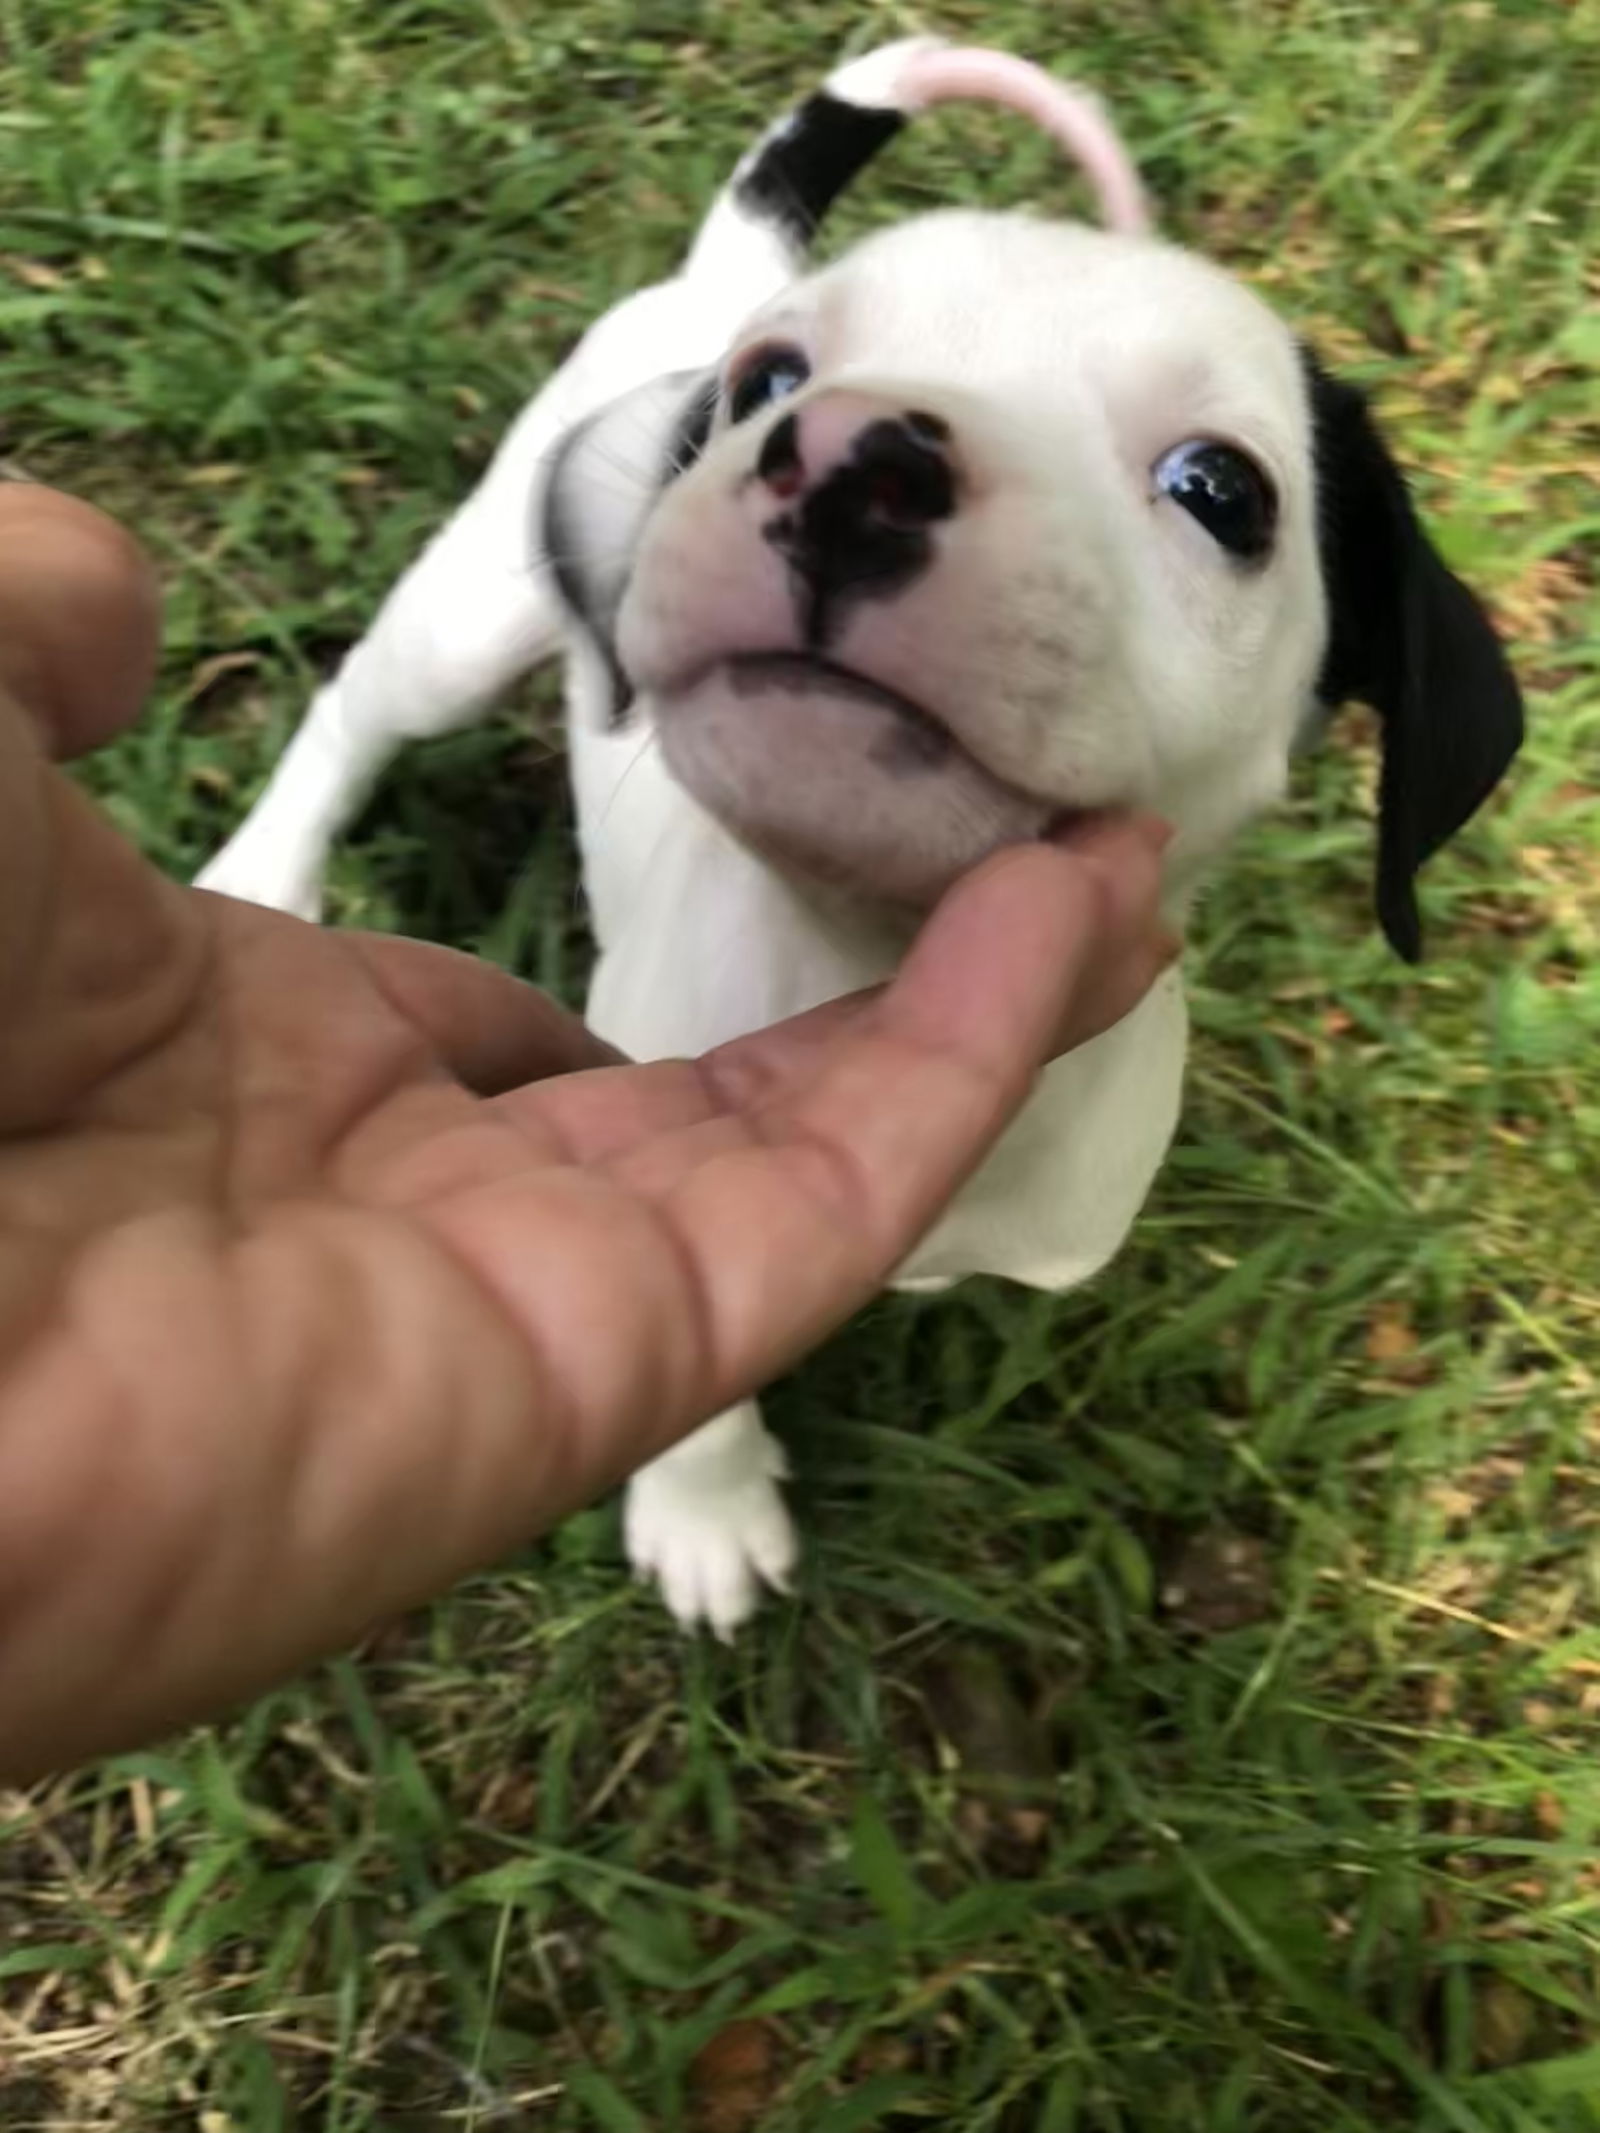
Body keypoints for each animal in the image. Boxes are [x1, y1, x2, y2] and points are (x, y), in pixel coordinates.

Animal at [200, 37, 1527, 1629]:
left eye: (1221, 491)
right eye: (769, 384)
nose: (849, 455)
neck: (849, 953)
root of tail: (733, 264)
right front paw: (705, 1505)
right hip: (475, 611)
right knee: (354, 710)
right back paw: (268, 871)